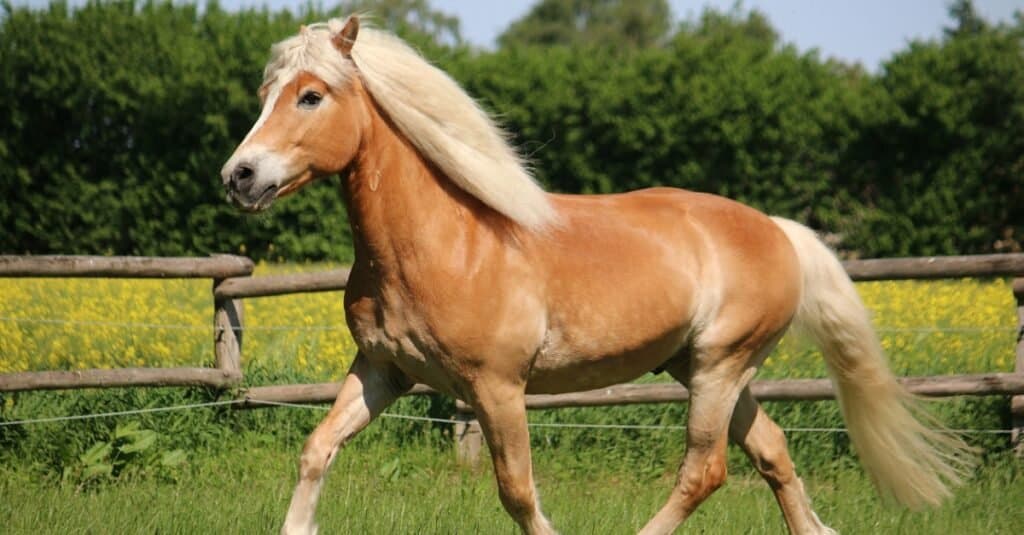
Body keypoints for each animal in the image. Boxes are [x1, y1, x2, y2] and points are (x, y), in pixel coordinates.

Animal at [222, 16, 974, 532]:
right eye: (265, 92)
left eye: (311, 96)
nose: (240, 176)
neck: (444, 245)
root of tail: (777, 230)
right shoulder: (384, 371)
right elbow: (316, 450)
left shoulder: (497, 388)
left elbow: (518, 491)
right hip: (704, 369)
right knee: (774, 454)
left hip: (720, 367)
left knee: (705, 470)